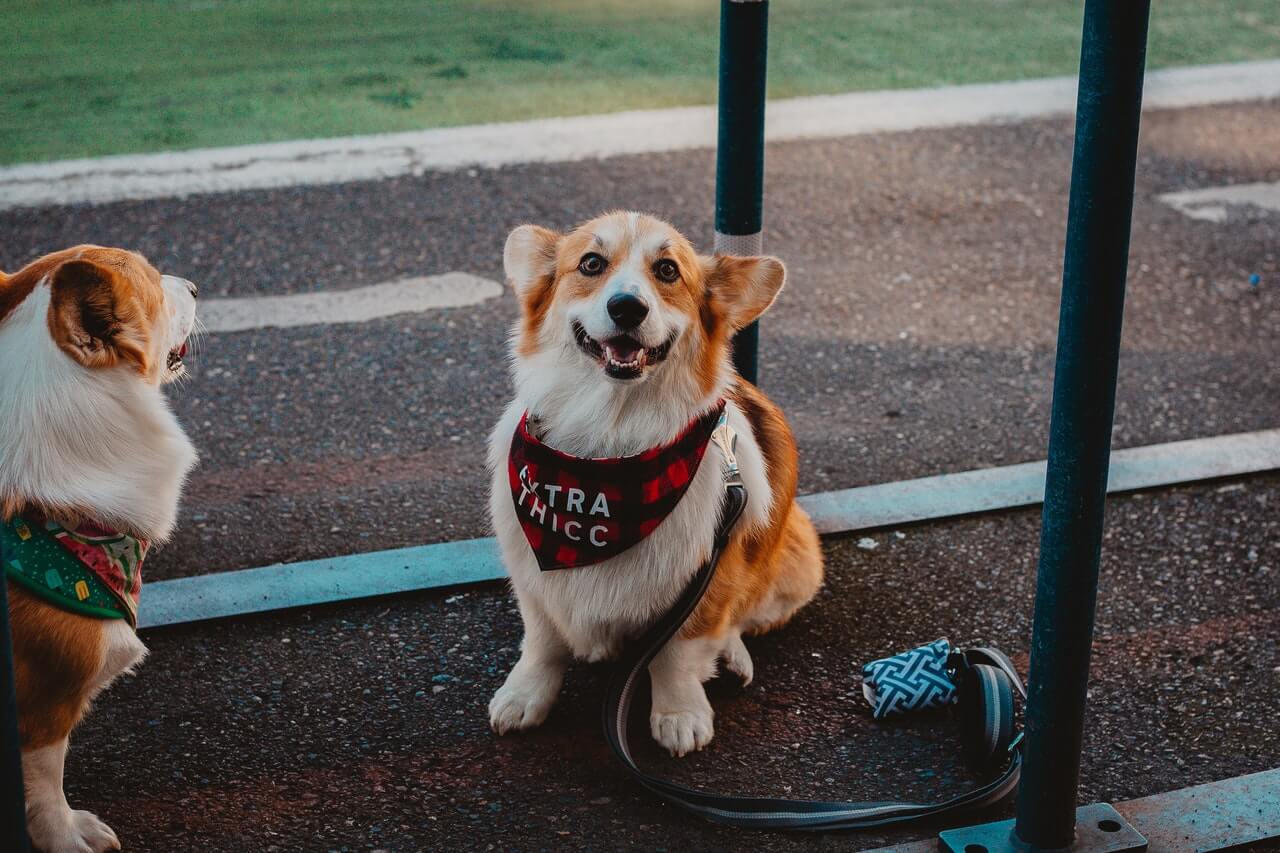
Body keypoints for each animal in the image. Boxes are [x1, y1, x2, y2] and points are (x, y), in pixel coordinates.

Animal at [483, 211, 824, 753]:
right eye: (591, 263)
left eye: (667, 271)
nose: (627, 307)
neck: (608, 445)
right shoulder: (533, 578)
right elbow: (542, 642)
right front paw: (524, 697)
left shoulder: (706, 577)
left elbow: (676, 654)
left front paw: (679, 714)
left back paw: (732, 658)